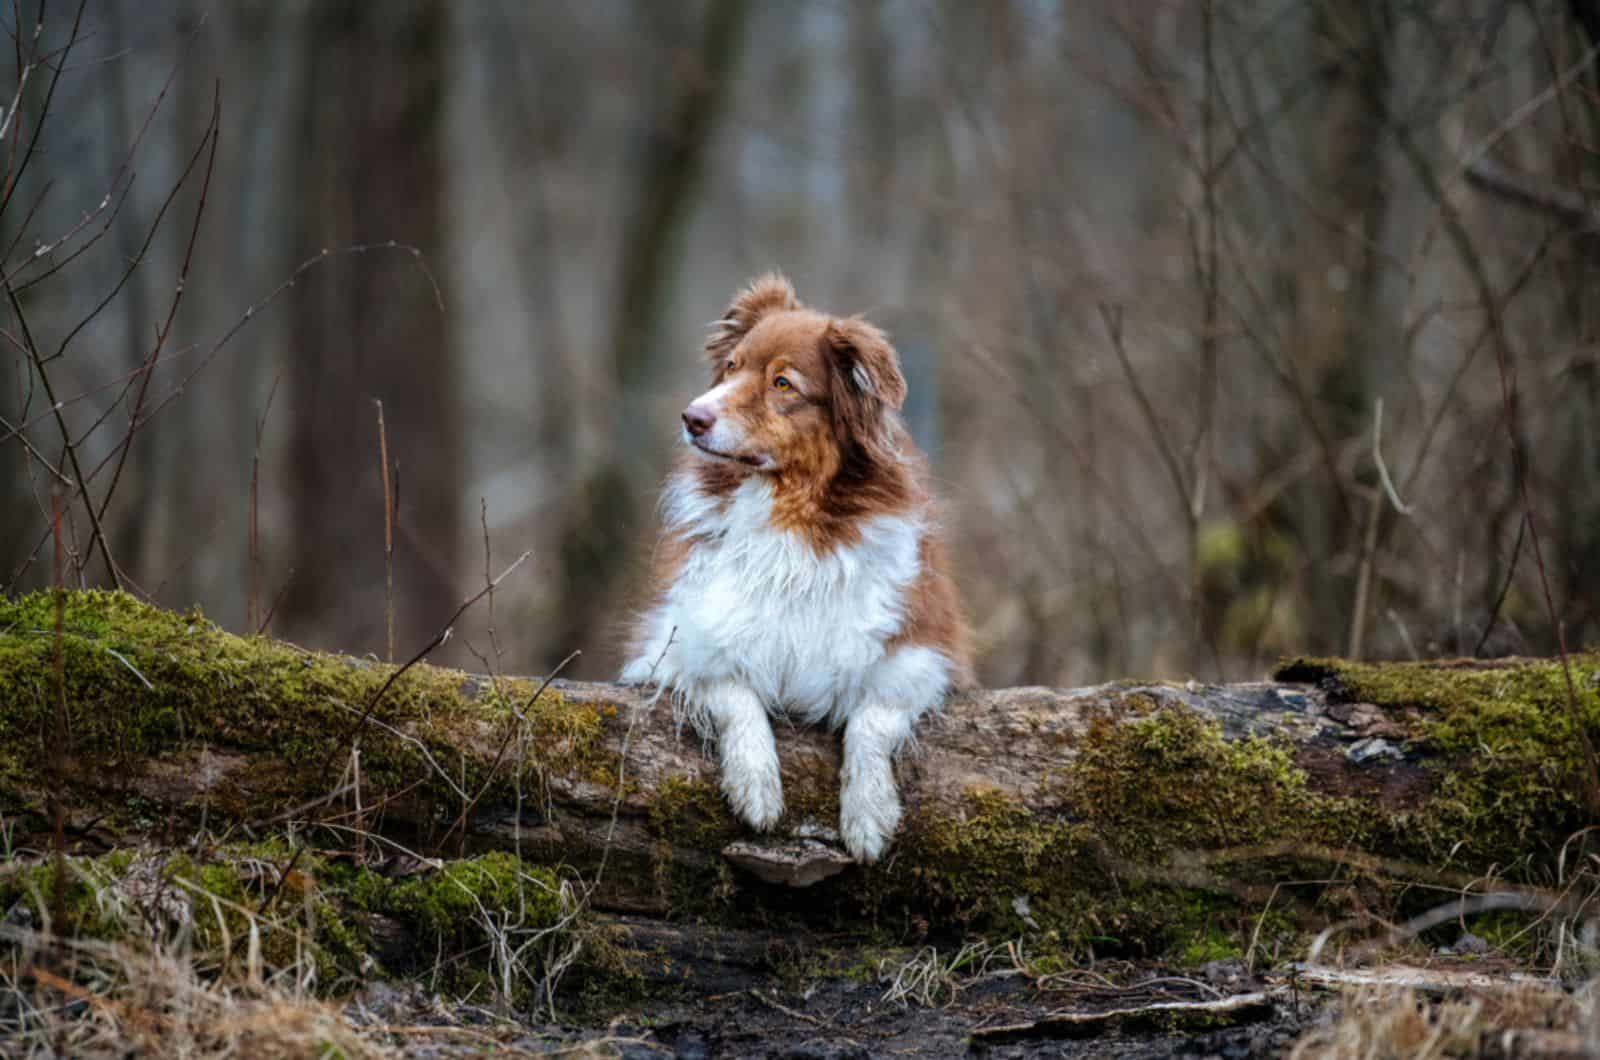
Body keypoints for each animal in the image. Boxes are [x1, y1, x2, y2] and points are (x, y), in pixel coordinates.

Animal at [620, 273, 972, 864]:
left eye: (783, 384)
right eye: (731, 367)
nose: (692, 417)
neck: (790, 520)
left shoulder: (918, 650)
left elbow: (872, 719)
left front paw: (869, 815)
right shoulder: (682, 641)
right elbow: (734, 692)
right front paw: (757, 786)